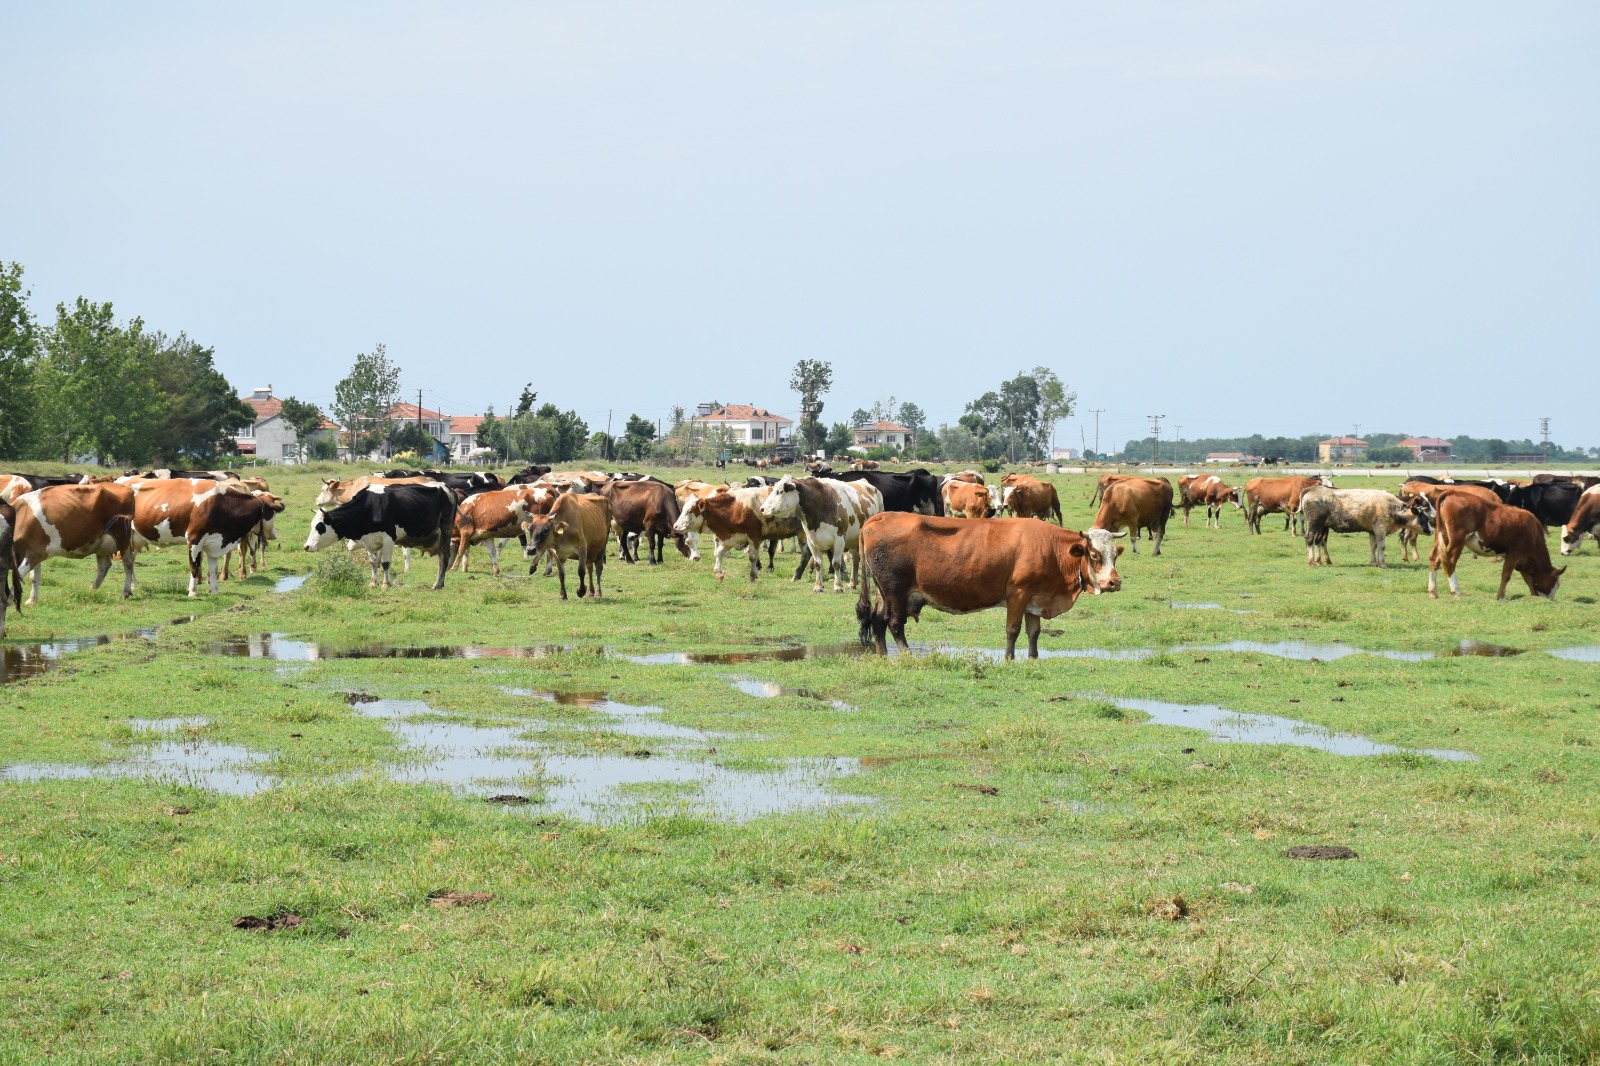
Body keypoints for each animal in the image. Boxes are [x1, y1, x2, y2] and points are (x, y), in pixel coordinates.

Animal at [302, 480, 460, 589]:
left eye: (320, 527)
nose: (306, 546)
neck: (371, 507)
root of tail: (447, 488)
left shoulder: (389, 539)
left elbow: (385, 563)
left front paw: (386, 584)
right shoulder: (369, 542)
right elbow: (373, 562)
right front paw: (373, 583)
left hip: (446, 529)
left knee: (444, 557)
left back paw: (438, 584)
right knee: (440, 557)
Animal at [755, 473, 883, 589]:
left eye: (780, 491)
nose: (762, 509)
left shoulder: (839, 540)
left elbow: (836, 563)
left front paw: (838, 586)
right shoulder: (812, 541)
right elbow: (817, 563)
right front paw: (818, 586)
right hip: (853, 539)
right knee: (855, 559)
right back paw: (852, 583)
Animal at [851, 512, 1126, 656]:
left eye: (1115, 554)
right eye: (1094, 555)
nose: (1114, 582)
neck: (1050, 548)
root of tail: (880, 516)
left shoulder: (1034, 599)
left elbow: (1034, 632)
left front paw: (1033, 658)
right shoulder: (1018, 594)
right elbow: (1012, 630)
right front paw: (1009, 658)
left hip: (883, 592)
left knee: (877, 621)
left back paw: (883, 655)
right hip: (895, 592)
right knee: (895, 623)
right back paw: (907, 655)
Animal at [1292, 489, 1433, 569]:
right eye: (1425, 518)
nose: (1431, 530)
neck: (1391, 507)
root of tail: (1309, 492)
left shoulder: (1372, 531)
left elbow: (1373, 546)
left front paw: (1374, 562)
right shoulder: (1380, 529)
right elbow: (1381, 546)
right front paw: (1382, 564)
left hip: (1321, 526)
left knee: (1317, 541)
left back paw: (1318, 561)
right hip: (1314, 524)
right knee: (1310, 539)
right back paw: (1311, 561)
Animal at [1427, 492, 1561, 598]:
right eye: (1557, 584)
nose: (1551, 599)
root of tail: (1454, 493)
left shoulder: (1522, 560)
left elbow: (1528, 579)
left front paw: (1533, 596)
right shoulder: (1515, 552)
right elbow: (1506, 575)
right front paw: (1500, 596)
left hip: (1442, 535)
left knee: (1435, 558)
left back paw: (1433, 592)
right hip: (1457, 540)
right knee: (1449, 560)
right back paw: (1456, 591)